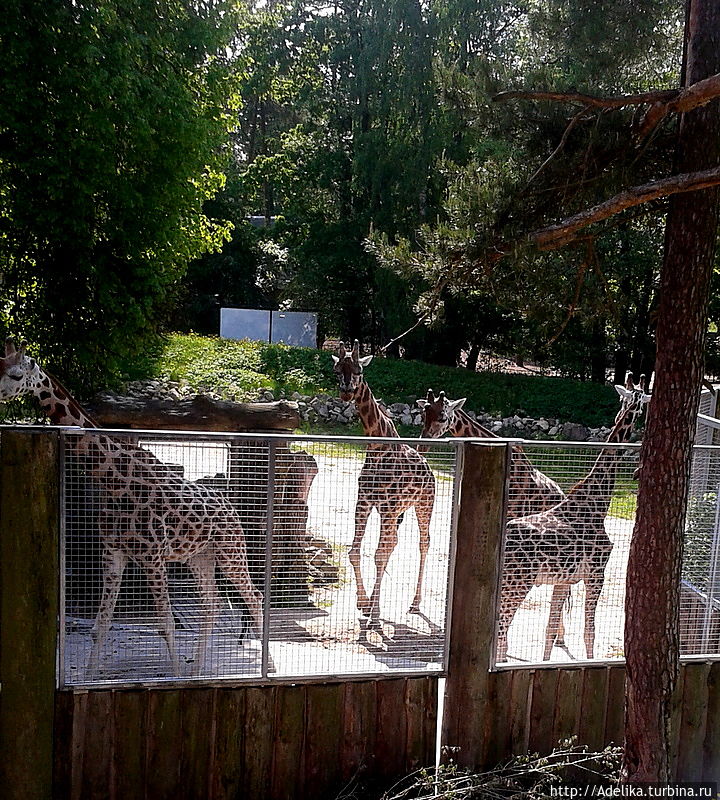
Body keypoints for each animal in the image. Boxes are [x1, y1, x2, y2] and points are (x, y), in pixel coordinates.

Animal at [0, 338, 262, 676]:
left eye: (17, 375)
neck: (114, 481)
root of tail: (230, 506)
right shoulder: (113, 553)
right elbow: (100, 625)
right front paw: (88, 679)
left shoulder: (153, 558)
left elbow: (166, 625)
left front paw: (175, 679)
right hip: (199, 557)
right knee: (212, 604)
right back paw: (196, 672)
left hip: (231, 551)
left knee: (254, 596)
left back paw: (265, 669)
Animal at [330, 340, 436, 628]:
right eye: (336, 370)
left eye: (359, 370)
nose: (347, 392)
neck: (376, 444)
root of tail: (430, 469)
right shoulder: (365, 502)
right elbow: (355, 552)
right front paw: (364, 603)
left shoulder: (388, 506)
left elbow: (378, 554)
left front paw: (374, 614)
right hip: (397, 513)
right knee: (393, 543)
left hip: (423, 505)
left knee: (423, 543)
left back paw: (415, 603)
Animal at [496, 376, 652, 664]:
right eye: (641, 403)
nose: (637, 421)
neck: (599, 499)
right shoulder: (596, 573)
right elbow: (590, 631)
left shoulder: (563, 580)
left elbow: (550, 629)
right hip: (518, 583)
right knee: (501, 631)